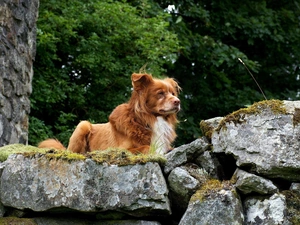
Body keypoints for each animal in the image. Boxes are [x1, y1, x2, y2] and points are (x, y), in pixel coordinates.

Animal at [39, 73, 182, 154]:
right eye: (160, 93)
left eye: (173, 93)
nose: (178, 101)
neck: (147, 120)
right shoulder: (120, 149)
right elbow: (146, 148)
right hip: (83, 125)